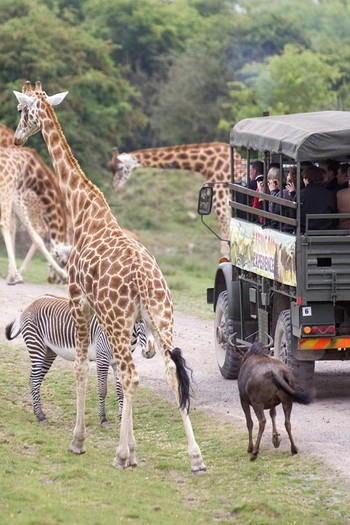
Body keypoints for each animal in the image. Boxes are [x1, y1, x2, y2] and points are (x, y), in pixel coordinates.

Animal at [0, 145, 71, 284]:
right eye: (63, 261)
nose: (53, 280)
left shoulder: (14, 195)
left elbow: (18, 231)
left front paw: (14, 274)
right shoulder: (11, 191)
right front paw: (14, 275)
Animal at [5, 292, 156, 428]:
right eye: (141, 321)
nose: (151, 352)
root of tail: (32, 302)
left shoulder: (118, 362)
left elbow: (120, 390)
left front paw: (121, 418)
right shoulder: (102, 358)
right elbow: (103, 390)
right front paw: (103, 419)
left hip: (49, 352)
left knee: (33, 379)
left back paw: (37, 413)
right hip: (36, 346)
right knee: (35, 380)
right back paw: (41, 416)